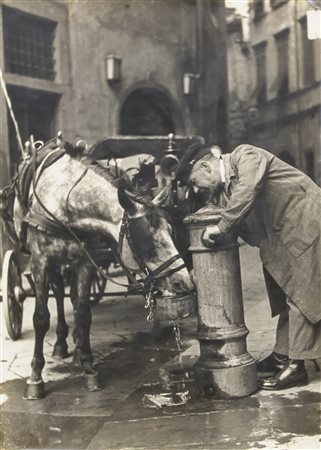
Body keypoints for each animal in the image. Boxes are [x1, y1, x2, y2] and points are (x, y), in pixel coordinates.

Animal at [11, 142, 192, 400]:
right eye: (146, 236)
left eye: (171, 228)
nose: (183, 281)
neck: (65, 202)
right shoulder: (40, 262)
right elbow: (40, 318)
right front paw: (35, 378)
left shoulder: (86, 262)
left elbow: (84, 314)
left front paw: (88, 367)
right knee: (58, 293)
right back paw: (61, 343)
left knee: (70, 296)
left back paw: (74, 342)